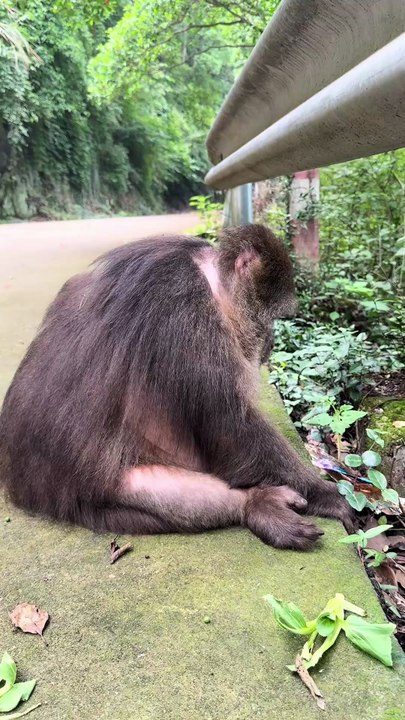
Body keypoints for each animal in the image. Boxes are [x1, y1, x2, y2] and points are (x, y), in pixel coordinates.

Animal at [0, 224, 353, 550]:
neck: (211, 281)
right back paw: (254, 505)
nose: (271, 339)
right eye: (272, 319)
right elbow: (232, 430)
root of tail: (23, 488)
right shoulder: (189, 315)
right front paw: (324, 493)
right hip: (82, 494)